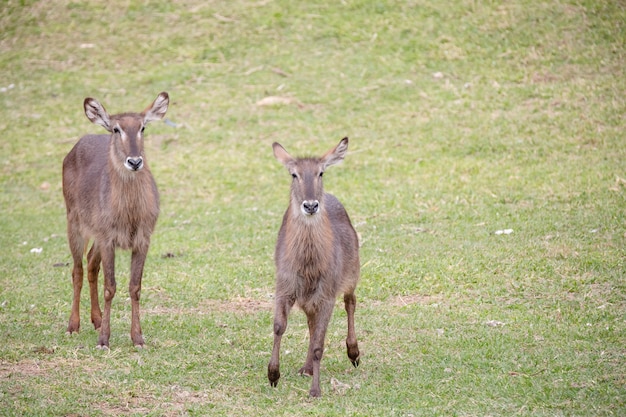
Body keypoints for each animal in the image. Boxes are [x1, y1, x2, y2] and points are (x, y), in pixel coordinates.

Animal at [62, 92, 168, 348]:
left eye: (143, 127)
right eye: (116, 129)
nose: (134, 161)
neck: (129, 215)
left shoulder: (142, 239)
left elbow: (135, 287)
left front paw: (137, 337)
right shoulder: (108, 238)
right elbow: (110, 287)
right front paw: (103, 340)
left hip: (97, 235)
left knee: (91, 264)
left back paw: (97, 319)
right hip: (74, 223)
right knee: (77, 270)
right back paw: (73, 325)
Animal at [264, 136, 360, 396]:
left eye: (321, 172)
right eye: (293, 174)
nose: (310, 205)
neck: (307, 266)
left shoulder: (327, 292)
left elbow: (319, 344)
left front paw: (315, 390)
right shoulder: (285, 286)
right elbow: (279, 327)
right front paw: (273, 375)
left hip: (352, 274)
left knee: (350, 302)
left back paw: (354, 353)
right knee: (311, 321)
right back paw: (306, 367)